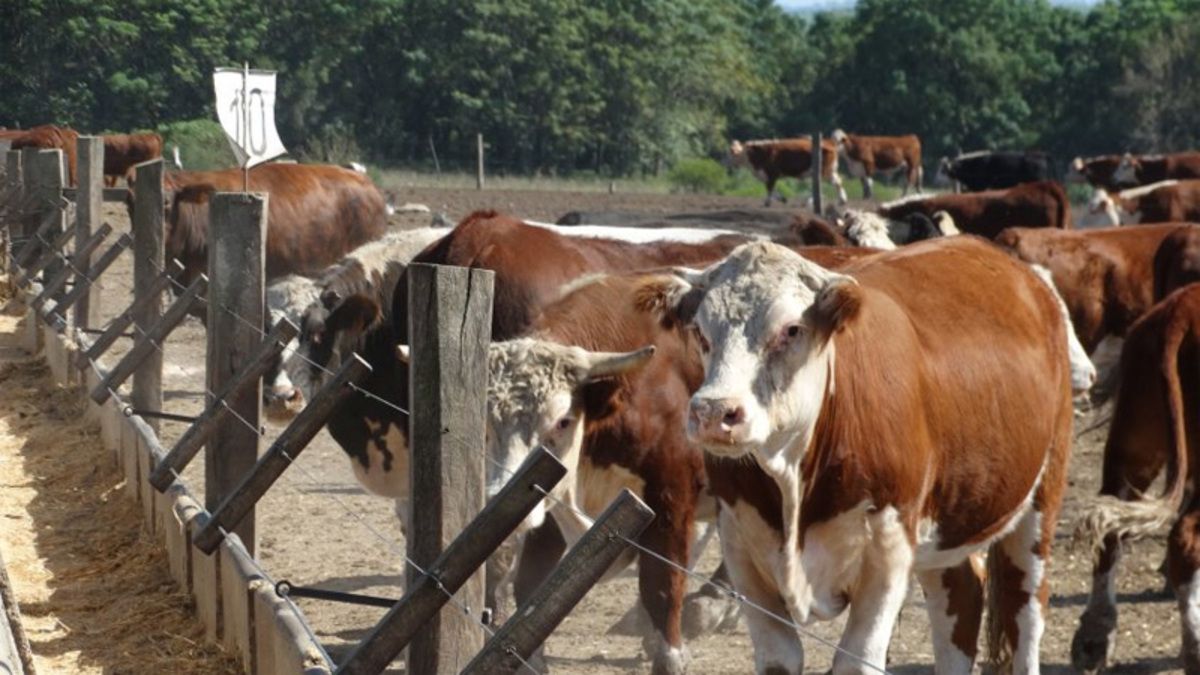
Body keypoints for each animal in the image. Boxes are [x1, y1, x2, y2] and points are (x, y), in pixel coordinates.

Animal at [634, 236, 1074, 674]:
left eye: (792, 329)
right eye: (701, 332)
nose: (714, 411)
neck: (792, 477)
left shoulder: (889, 547)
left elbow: (857, 659)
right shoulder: (741, 545)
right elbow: (779, 656)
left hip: (1041, 500)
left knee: (1025, 612)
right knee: (961, 597)